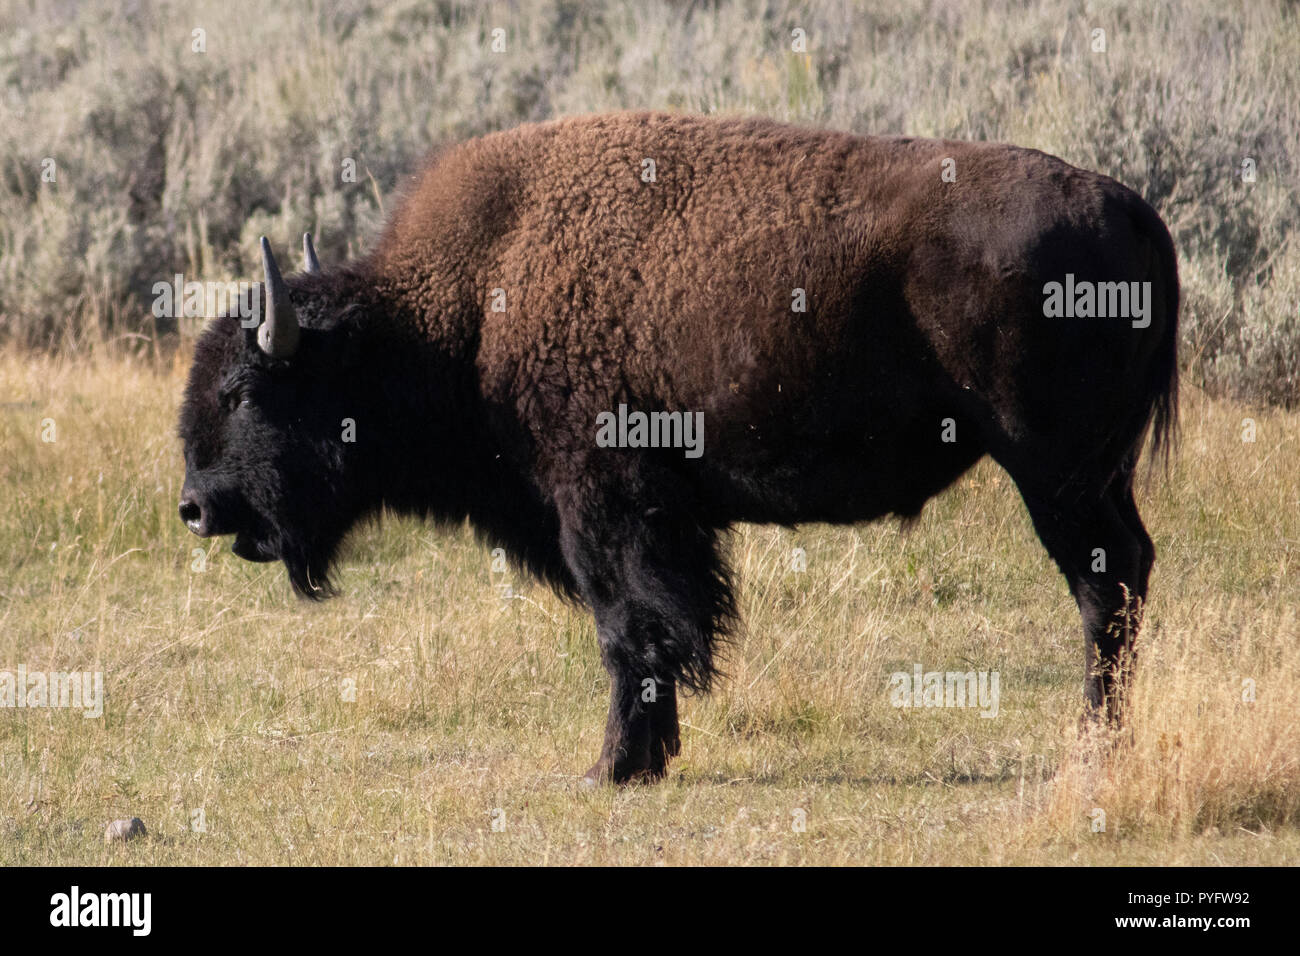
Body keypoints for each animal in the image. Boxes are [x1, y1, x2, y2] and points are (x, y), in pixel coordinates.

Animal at [178, 112, 1178, 784]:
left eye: (246, 391)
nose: (196, 506)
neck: (461, 311)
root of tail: (1133, 210)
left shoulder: (605, 507)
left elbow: (633, 629)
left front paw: (614, 768)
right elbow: (664, 626)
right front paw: (645, 758)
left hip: (1054, 474)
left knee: (1104, 584)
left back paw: (1092, 748)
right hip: (1098, 475)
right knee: (1125, 574)